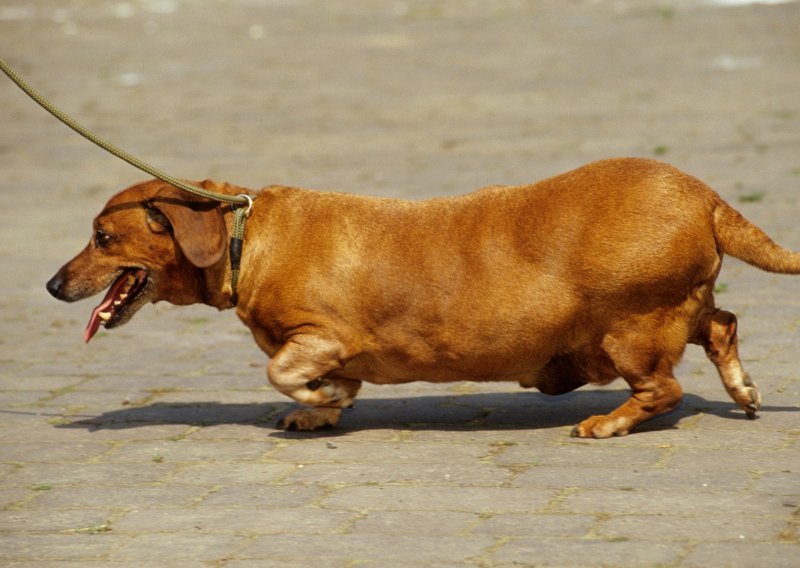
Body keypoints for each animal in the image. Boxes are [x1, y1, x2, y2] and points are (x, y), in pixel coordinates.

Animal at [47, 158, 796, 438]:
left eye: (102, 237)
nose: (53, 284)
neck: (243, 236)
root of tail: (705, 196)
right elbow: (328, 385)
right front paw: (321, 409)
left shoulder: (319, 335)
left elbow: (283, 369)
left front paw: (316, 397)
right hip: (680, 310)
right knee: (723, 325)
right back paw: (743, 390)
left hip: (631, 327)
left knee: (662, 389)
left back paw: (606, 423)